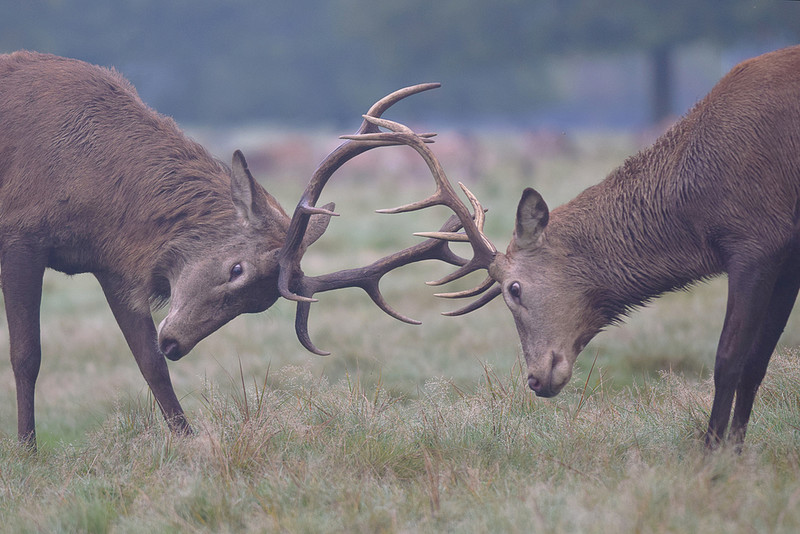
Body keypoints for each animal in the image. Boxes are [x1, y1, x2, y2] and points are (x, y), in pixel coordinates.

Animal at [1, 51, 476, 452]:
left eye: (257, 305)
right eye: (235, 268)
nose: (174, 342)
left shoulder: (114, 266)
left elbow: (149, 364)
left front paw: (187, 442)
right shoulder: (19, 234)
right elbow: (27, 356)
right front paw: (27, 451)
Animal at [356, 46, 800, 450]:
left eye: (513, 288)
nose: (534, 379)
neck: (700, 203)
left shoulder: (756, 239)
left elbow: (729, 359)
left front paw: (711, 455)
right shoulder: (785, 253)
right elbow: (757, 362)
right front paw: (736, 452)